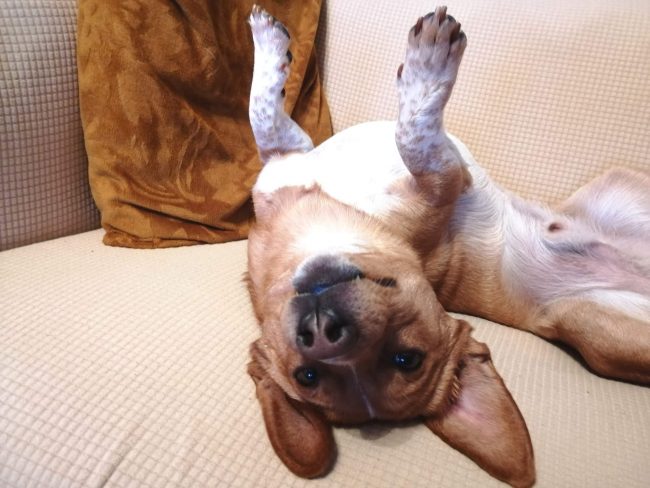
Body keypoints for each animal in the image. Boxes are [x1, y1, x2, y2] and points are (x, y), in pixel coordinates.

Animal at [244, 5, 650, 487]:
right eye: (308, 374)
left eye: (405, 359)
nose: (323, 333)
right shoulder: (444, 179)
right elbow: (414, 135)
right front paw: (428, 64)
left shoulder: (291, 151)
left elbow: (262, 111)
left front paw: (268, 41)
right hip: (591, 329)